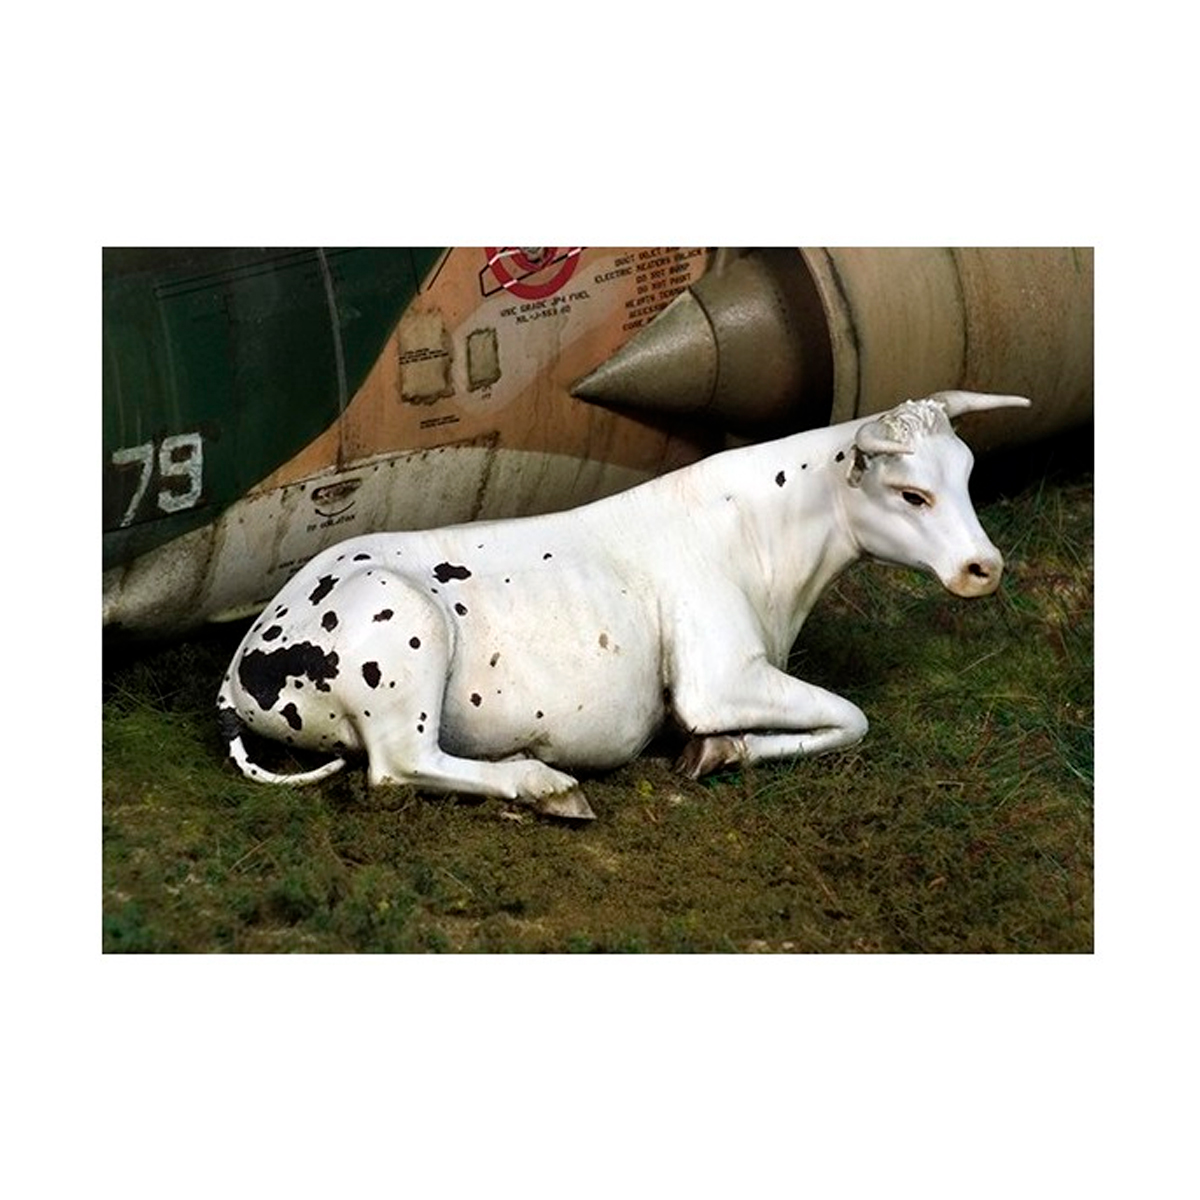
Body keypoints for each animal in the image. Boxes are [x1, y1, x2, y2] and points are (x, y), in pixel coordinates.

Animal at [217, 390, 1030, 819]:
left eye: (966, 473)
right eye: (911, 494)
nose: (983, 568)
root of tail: (242, 661)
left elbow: (840, 722)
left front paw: (722, 752)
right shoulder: (718, 680)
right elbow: (855, 716)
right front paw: (716, 747)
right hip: (404, 640)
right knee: (397, 767)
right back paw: (544, 784)